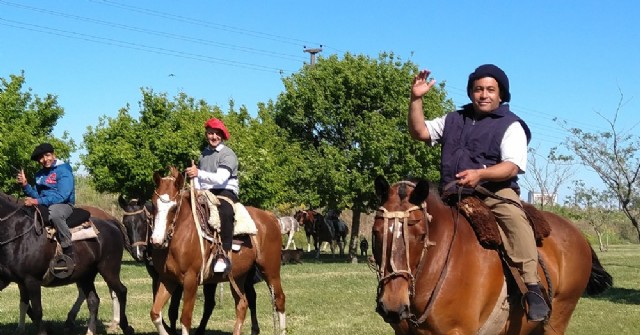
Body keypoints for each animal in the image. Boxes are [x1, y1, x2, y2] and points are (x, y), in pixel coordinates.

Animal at [149, 168, 286, 335]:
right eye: (153, 205)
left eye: (174, 207)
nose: (157, 240)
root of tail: (271, 217)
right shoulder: (167, 278)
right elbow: (155, 313)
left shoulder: (190, 280)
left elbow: (185, 319)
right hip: (238, 276)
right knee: (242, 304)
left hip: (270, 270)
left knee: (279, 299)